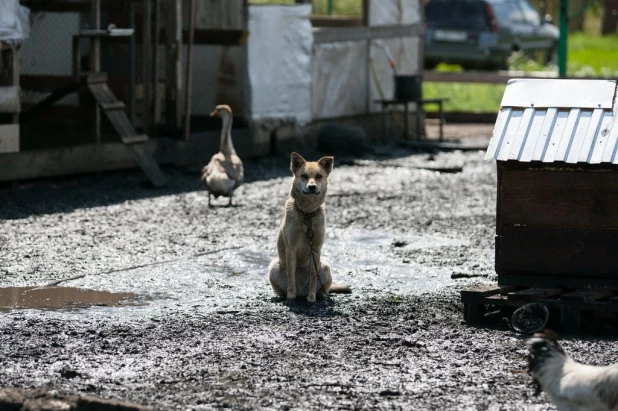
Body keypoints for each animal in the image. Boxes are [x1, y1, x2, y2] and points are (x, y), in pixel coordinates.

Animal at [268, 153, 348, 300]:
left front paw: (311, 298)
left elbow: (313, 277)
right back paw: (286, 296)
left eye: (319, 176)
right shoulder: (291, 248)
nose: (312, 187)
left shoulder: (315, 248)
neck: (307, 213)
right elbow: (290, 276)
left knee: (322, 288)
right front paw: (291, 297)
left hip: (325, 266)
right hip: (274, 266)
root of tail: (301, 293)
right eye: (304, 176)